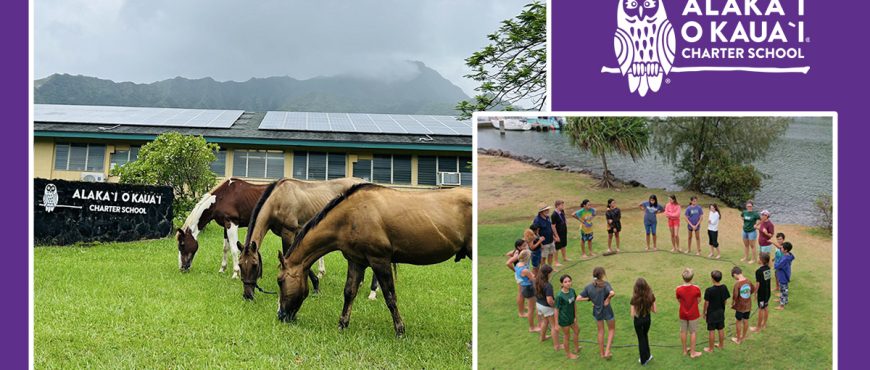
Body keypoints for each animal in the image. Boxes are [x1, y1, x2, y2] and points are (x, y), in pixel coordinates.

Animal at [238, 176, 374, 300]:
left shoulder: (288, 233)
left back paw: (372, 293)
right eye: (239, 265)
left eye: (255, 265)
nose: (247, 295)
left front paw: (316, 286)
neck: (278, 199)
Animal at [278, 182, 470, 336]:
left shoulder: (380, 260)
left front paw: (400, 331)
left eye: (280, 281)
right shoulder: (356, 261)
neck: (350, 216)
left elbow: (390, 297)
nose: (280, 315)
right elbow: (349, 292)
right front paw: (342, 325)